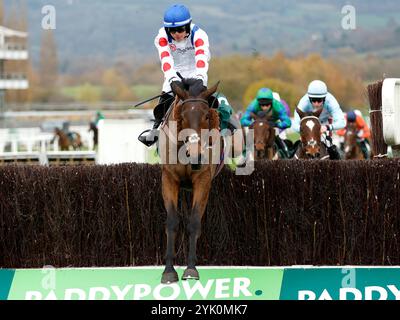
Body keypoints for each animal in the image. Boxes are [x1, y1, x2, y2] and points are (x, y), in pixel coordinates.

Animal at [159, 79, 220, 282]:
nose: (196, 155)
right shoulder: (169, 178)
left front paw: (191, 268)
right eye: (183, 117)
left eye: (207, 117)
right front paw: (169, 270)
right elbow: (172, 221)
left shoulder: (203, 180)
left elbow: (193, 222)